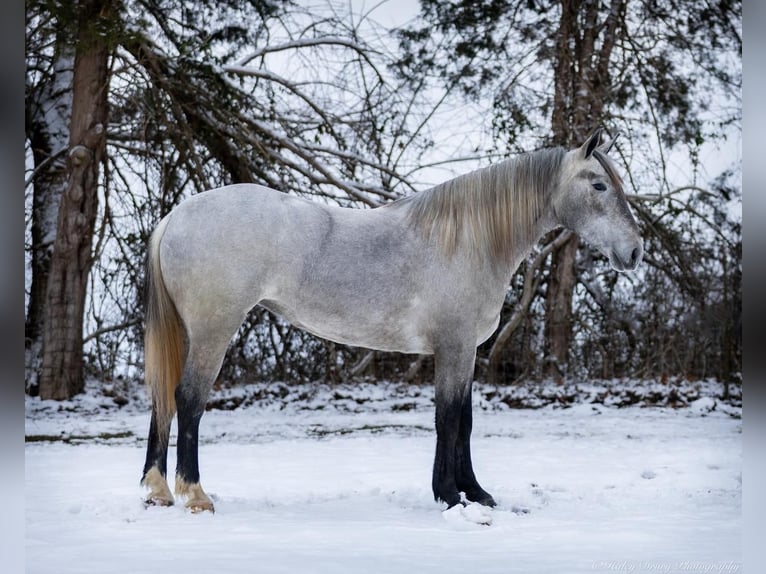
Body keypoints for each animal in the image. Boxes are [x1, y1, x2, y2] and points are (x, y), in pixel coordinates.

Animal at [142, 129, 640, 512]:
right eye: (600, 185)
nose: (634, 252)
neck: (469, 241)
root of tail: (175, 217)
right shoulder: (453, 346)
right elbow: (448, 419)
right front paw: (451, 496)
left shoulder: (466, 352)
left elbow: (465, 419)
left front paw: (476, 493)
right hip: (214, 331)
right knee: (189, 399)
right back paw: (195, 495)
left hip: (188, 333)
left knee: (164, 399)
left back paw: (158, 491)